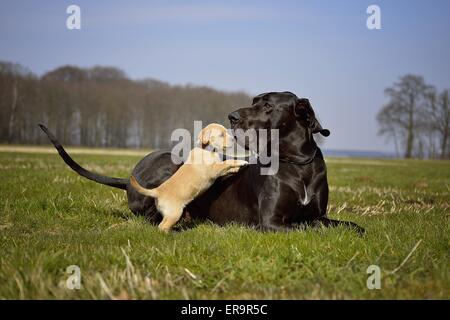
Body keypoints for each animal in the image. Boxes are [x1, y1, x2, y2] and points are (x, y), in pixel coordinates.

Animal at [40, 91, 366, 234]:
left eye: (267, 105)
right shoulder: (271, 222)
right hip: (167, 171)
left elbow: (347, 226)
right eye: (254, 100)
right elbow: (306, 227)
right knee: (153, 218)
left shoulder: (320, 214)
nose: (232, 116)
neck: (297, 164)